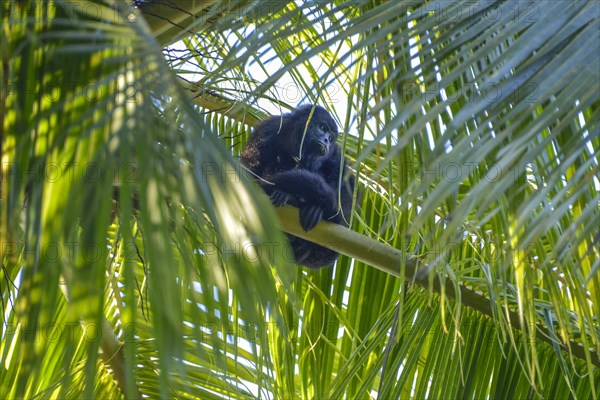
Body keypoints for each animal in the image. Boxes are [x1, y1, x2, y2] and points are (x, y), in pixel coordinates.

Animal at [240, 105, 354, 268]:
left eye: (331, 138)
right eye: (322, 127)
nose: (326, 140)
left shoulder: (337, 155)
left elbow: (342, 198)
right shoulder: (269, 128)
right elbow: (250, 169)